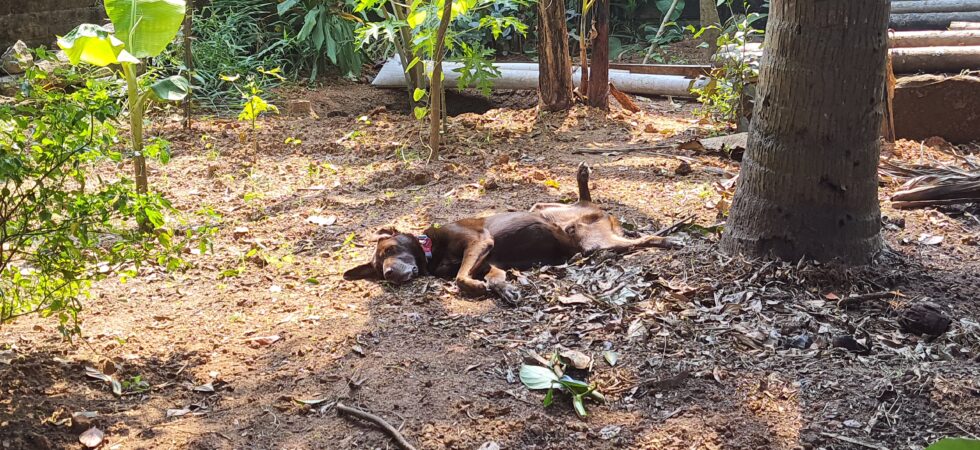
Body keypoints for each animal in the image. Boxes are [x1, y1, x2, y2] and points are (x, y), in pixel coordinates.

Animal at [344, 163, 680, 300]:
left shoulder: (479, 242)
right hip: (548, 211)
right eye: (378, 269)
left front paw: (474, 286)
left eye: (389, 250)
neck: (431, 251)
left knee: (642, 238)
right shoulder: (489, 261)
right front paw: (504, 290)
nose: (389, 274)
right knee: (581, 202)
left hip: (595, 241)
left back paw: (668, 238)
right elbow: (493, 279)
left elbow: (461, 277)